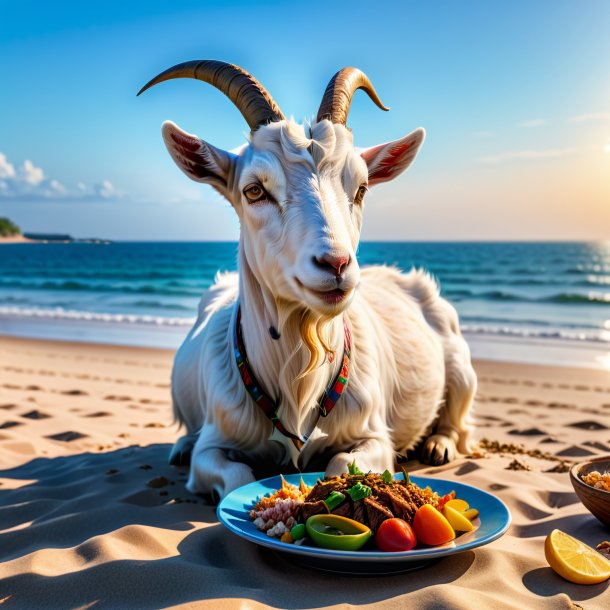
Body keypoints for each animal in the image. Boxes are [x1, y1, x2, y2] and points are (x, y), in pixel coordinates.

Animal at [138, 60, 476, 498]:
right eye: (254, 190)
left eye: (361, 188)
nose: (336, 264)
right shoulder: (214, 447)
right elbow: (234, 478)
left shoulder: (374, 438)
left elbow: (343, 462)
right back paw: (181, 445)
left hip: (462, 369)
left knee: (458, 419)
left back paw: (439, 444)